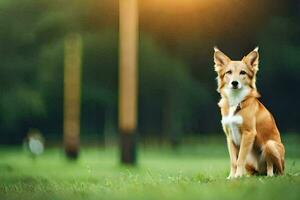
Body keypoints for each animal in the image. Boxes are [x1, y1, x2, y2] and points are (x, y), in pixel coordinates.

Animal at [212, 47, 284, 178]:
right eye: (229, 72)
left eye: (243, 73)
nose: (234, 83)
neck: (236, 101)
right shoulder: (229, 136)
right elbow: (233, 161)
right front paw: (231, 177)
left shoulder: (248, 133)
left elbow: (240, 158)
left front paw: (237, 176)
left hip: (270, 145)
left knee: (273, 167)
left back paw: (270, 175)